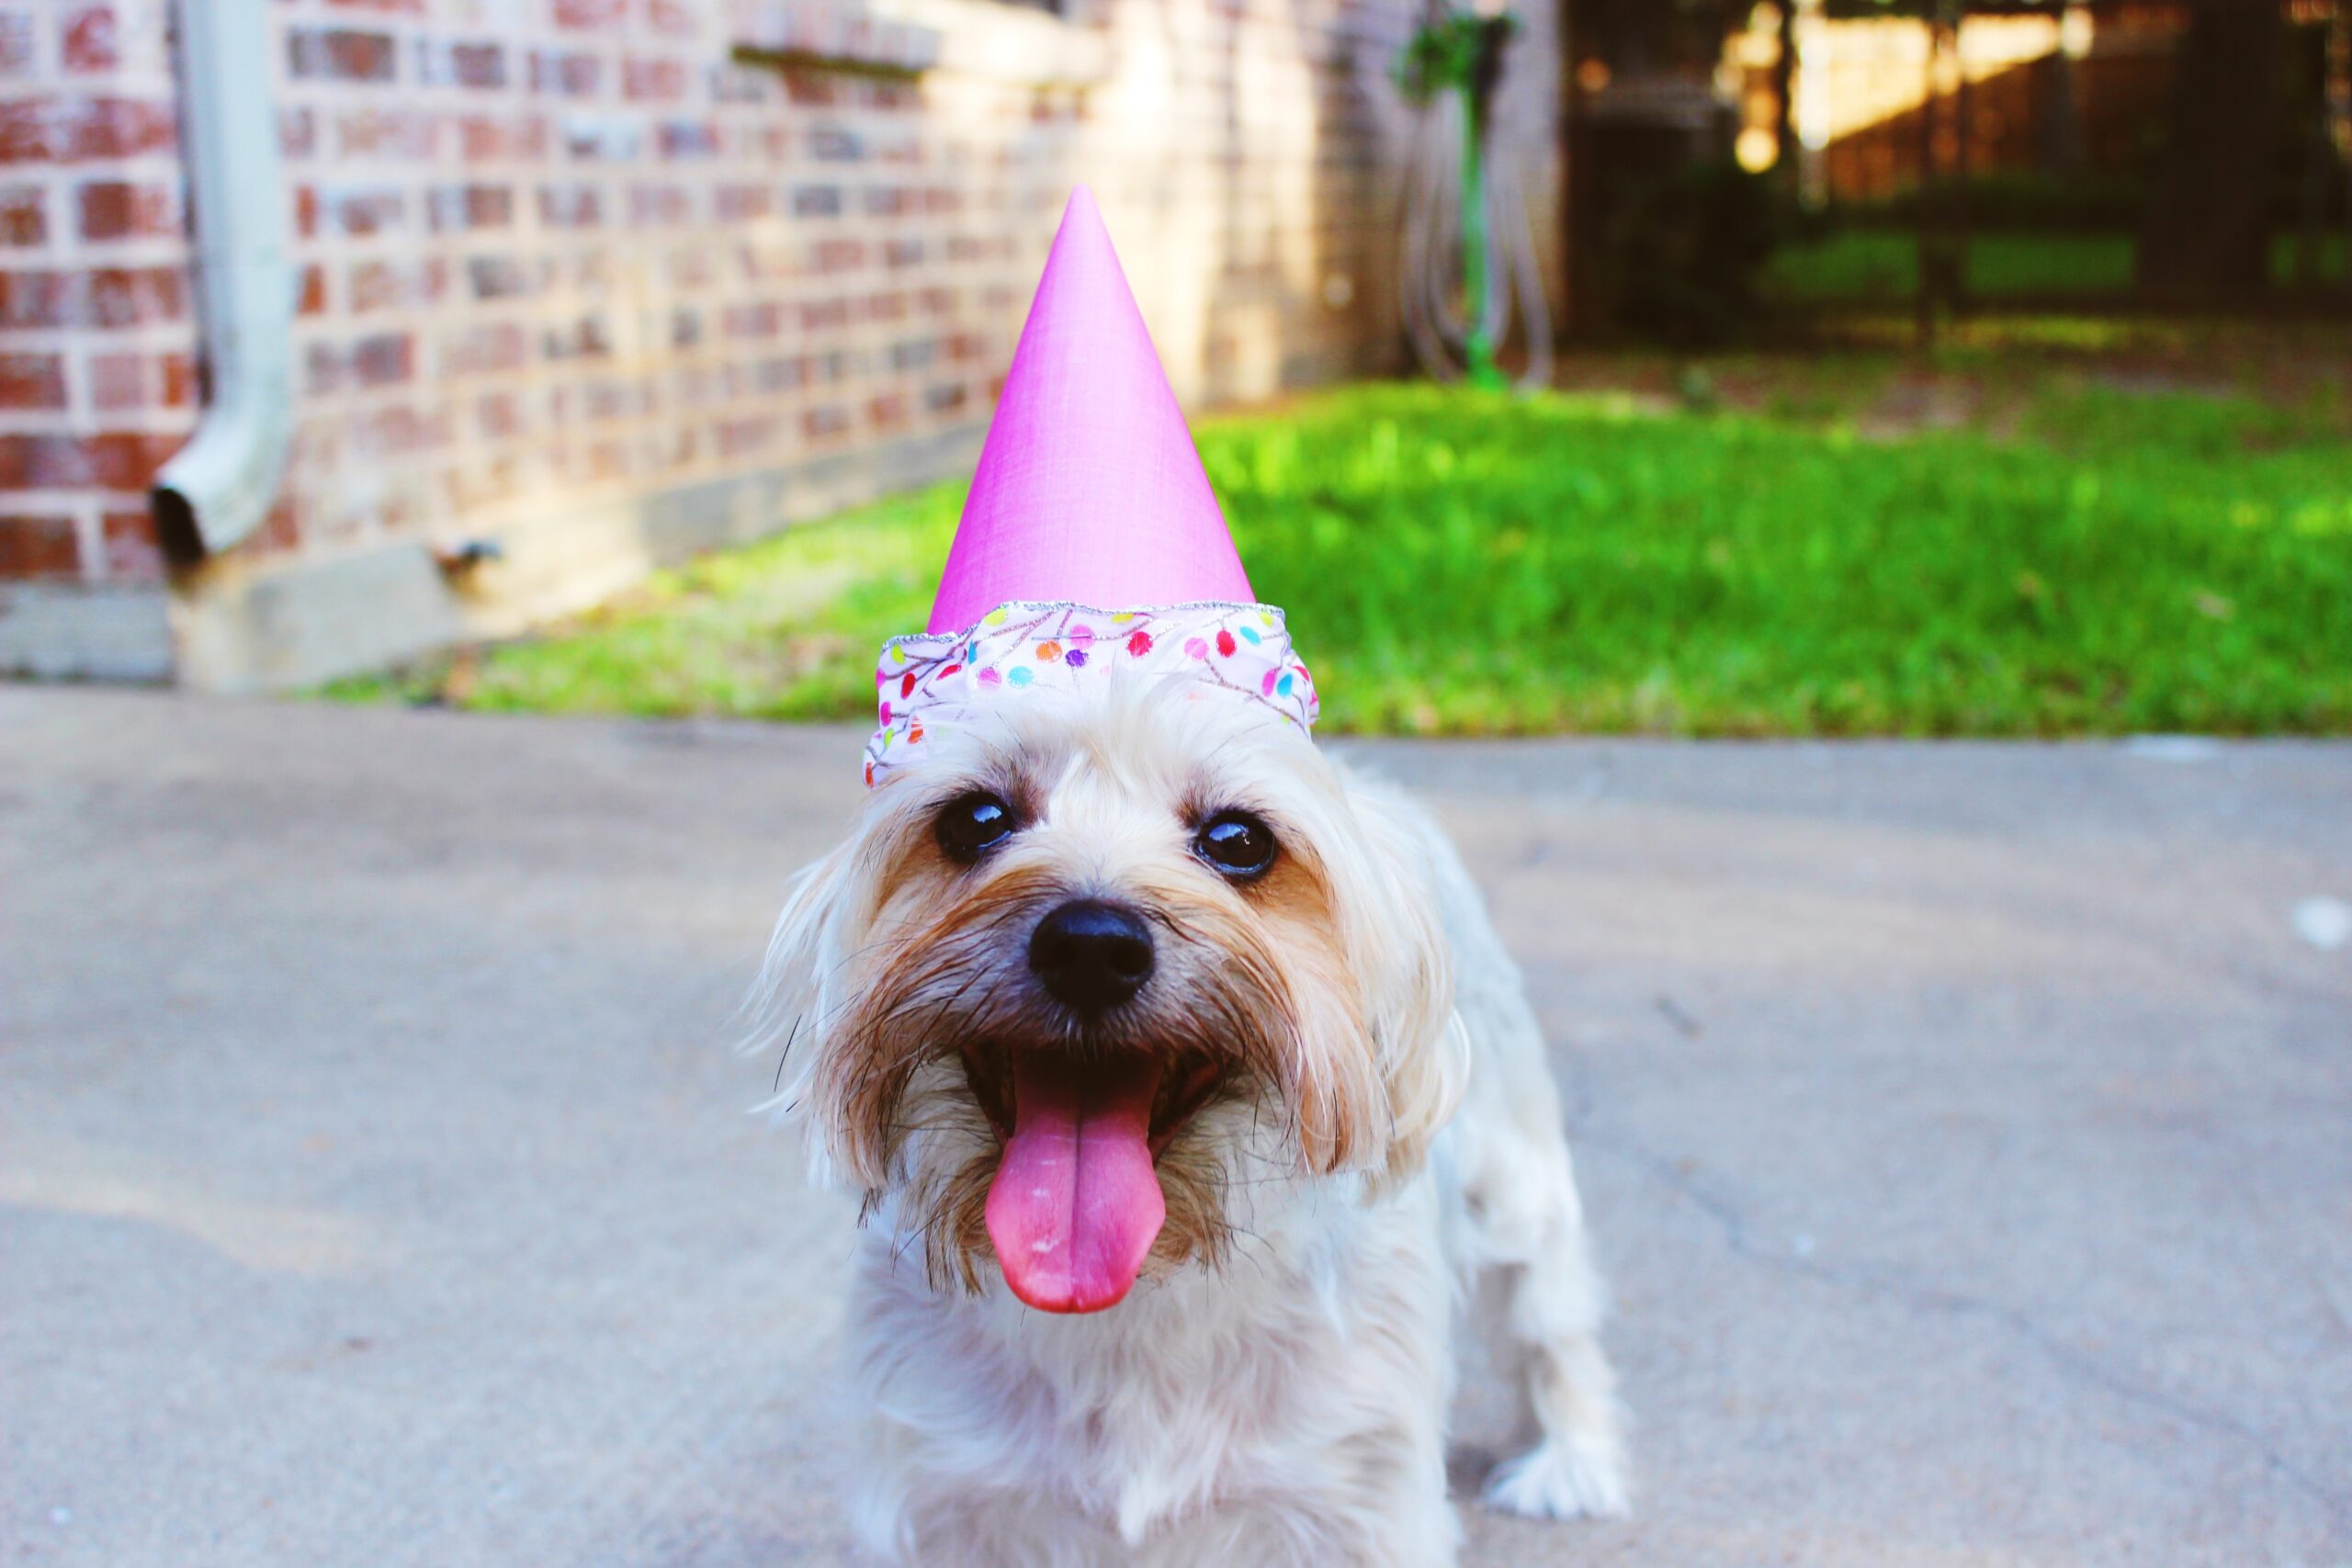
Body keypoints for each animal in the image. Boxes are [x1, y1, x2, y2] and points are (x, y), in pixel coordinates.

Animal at [762, 677, 1627, 1568]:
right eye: (977, 819)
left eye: (1238, 839)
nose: (1091, 946)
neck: (1128, 1295)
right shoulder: (945, 1496)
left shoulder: (1353, 1500)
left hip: (1519, 1182)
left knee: (1550, 1318)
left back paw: (1571, 1460)